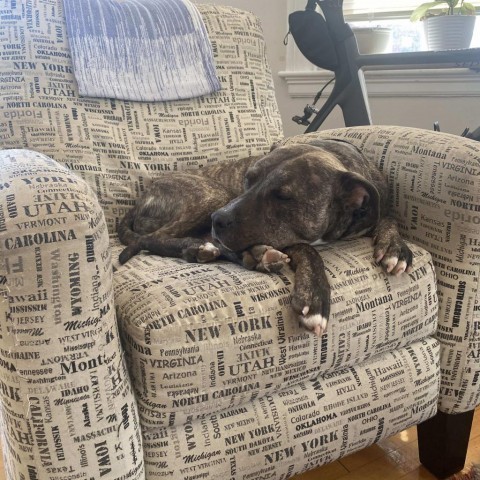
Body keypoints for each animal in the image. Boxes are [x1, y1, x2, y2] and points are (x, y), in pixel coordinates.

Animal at [117, 139, 412, 334]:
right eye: (247, 179)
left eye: (283, 196)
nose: (217, 219)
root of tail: (142, 198)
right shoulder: (287, 238)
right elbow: (308, 250)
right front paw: (315, 296)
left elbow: (389, 219)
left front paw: (395, 248)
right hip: (210, 195)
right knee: (149, 240)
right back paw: (221, 251)